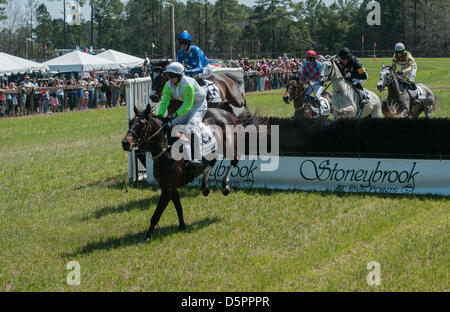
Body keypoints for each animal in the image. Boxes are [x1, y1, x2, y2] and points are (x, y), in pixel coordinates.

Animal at [121, 103, 262, 243]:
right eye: (130, 122)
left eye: (142, 124)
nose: (125, 143)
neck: (166, 149)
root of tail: (231, 115)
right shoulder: (170, 187)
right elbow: (178, 207)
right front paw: (182, 226)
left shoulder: (167, 188)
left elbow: (156, 214)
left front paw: (147, 237)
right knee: (213, 161)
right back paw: (204, 187)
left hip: (229, 147)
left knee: (235, 159)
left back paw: (224, 186)